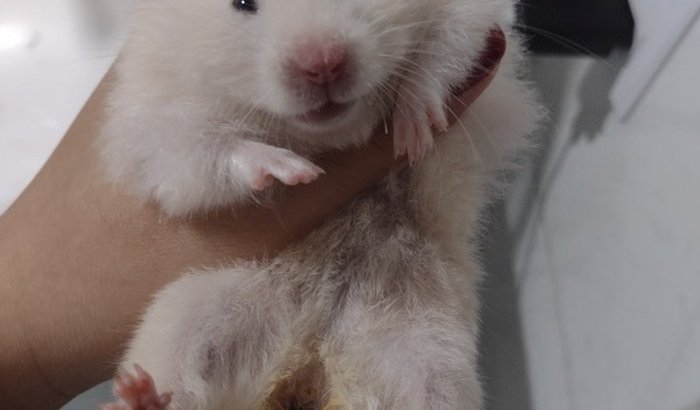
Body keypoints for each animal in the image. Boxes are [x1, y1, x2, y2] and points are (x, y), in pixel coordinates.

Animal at [101, 0, 541, 409]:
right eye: (242, 3)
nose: (324, 65)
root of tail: (310, 364)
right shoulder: (154, 119)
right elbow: (210, 148)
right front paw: (292, 170)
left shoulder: (470, 18)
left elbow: (440, 55)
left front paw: (412, 132)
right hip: (190, 317)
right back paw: (139, 395)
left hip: (431, 353)